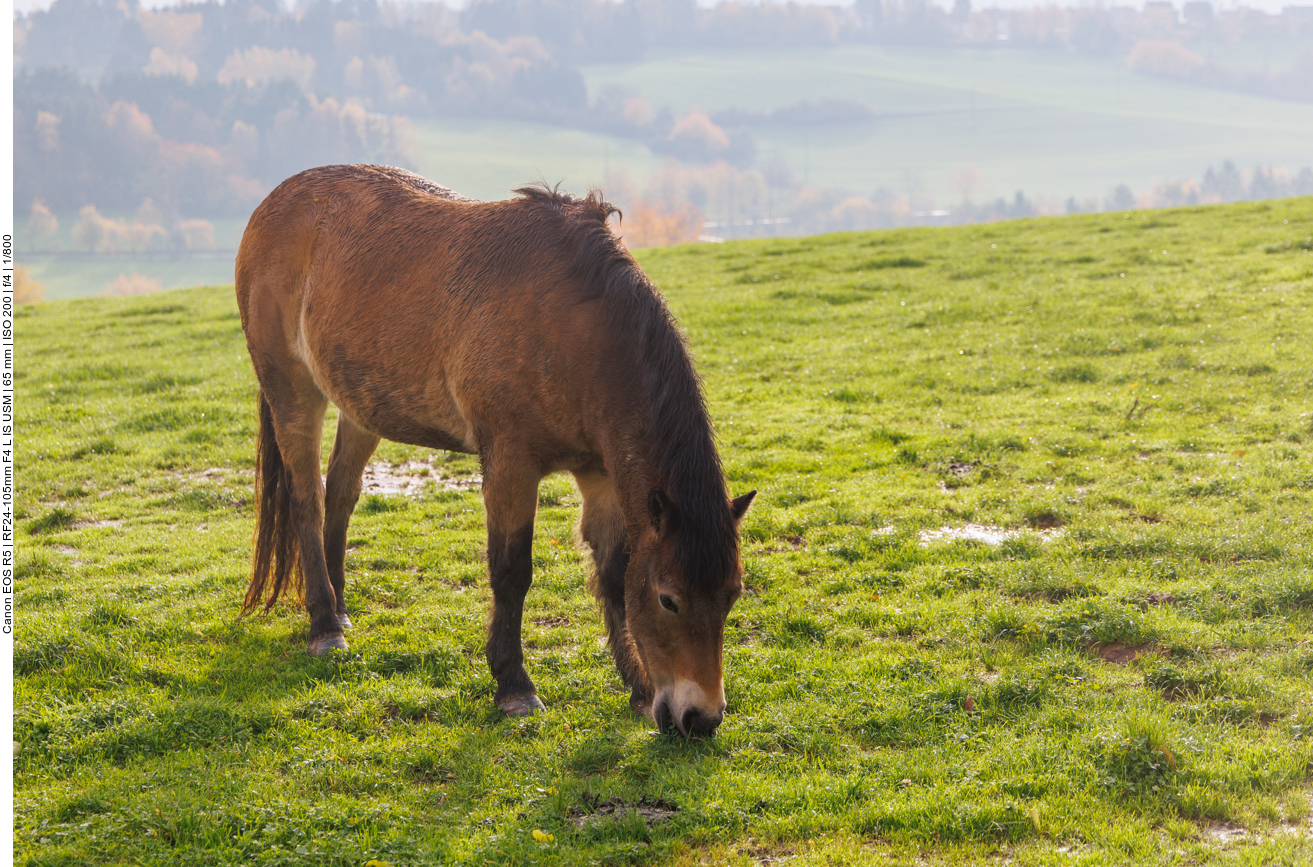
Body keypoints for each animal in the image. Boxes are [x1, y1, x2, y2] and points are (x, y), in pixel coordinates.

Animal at [232, 164, 756, 740]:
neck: (573, 327)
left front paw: (638, 688)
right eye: (669, 599)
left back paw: (341, 608)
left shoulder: (601, 474)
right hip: (292, 390)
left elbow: (614, 573)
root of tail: (275, 202)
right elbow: (511, 572)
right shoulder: (510, 463)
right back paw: (325, 624)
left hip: (360, 406)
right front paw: (514, 686)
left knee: (341, 496)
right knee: (307, 500)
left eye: (732, 594)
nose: (700, 718)